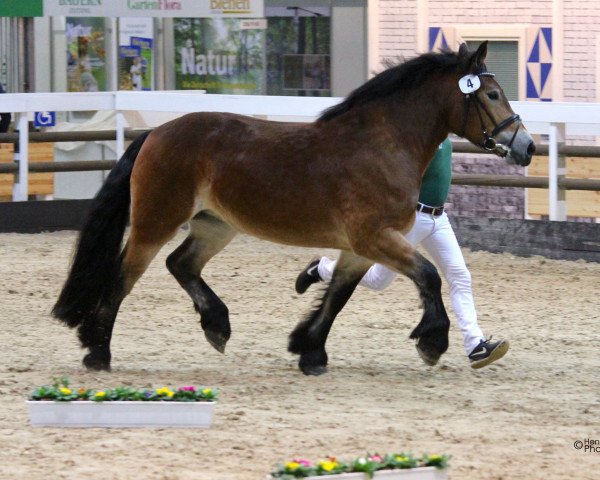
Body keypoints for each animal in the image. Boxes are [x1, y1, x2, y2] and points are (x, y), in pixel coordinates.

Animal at [52, 42, 536, 376]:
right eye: (493, 94)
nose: (526, 147)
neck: (381, 145)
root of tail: (155, 133)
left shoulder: (360, 248)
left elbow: (338, 295)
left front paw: (309, 350)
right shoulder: (375, 238)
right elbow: (430, 276)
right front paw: (431, 342)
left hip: (215, 226)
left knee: (181, 264)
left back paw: (217, 326)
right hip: (155, 223)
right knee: (123, 277)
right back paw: (98, 351)